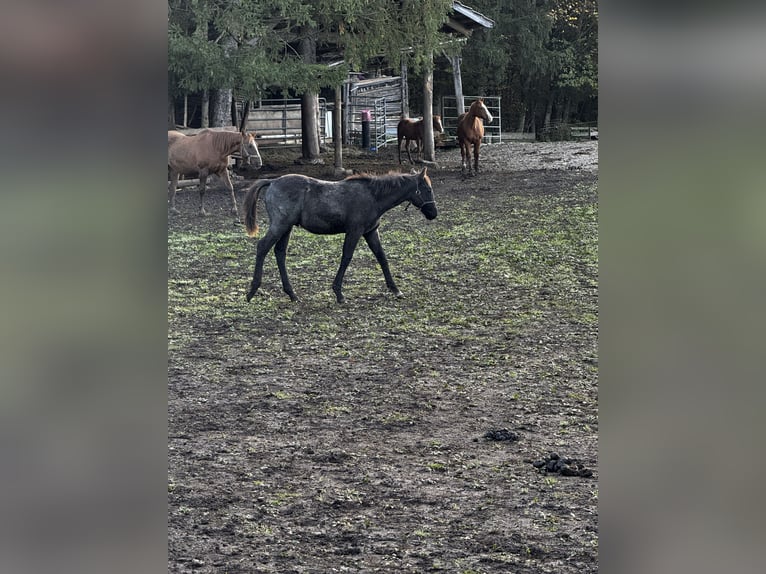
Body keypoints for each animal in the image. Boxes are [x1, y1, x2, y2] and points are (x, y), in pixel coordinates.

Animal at [243, 169, 440, 306]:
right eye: (427, 189)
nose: (433, 213)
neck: (373, 196)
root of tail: (273, 181)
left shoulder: (371, 232)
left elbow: (382, 257)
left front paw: (396, 289)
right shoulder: (355, 231)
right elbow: (346, 258)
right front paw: (338, 293)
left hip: (287, 228)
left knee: (280, 253)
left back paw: (292, 294)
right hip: (280, 225)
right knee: (262, 247)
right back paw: (252, 291)